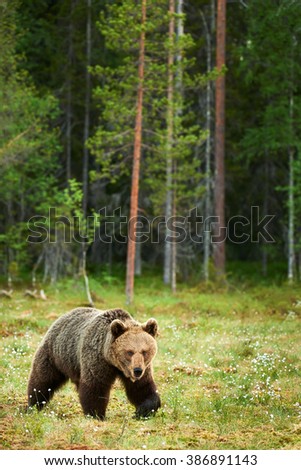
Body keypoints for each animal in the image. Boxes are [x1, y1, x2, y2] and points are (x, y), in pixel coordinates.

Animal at [27, 306, 161, 420]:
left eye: (144, 351)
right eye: (129, 352)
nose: (137, 370)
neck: (113, 362)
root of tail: (63, 316)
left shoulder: (142, 368)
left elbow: (142, 388)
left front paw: (142, 410)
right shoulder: (97, 359)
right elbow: (95, 387)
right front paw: (97, 414)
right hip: (56, 355)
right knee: (43, 380)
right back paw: (33, 404)